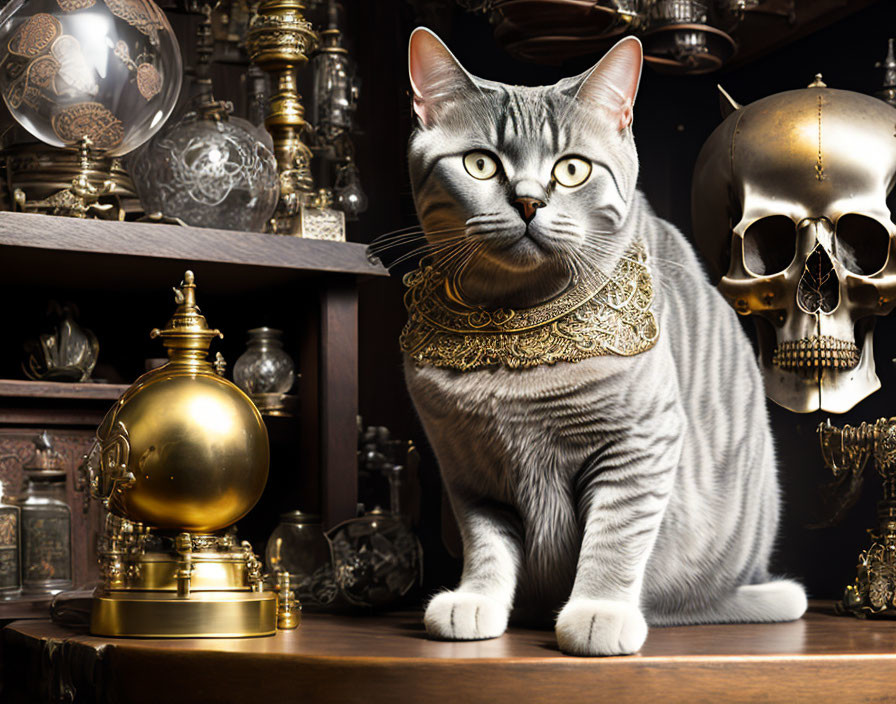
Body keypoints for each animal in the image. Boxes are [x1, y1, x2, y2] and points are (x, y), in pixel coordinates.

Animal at [402, 27, 808, 656]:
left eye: (571, 169)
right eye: (480, 163)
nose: (528, 202)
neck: (513, 332)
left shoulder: (639, 445)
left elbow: (615, 537)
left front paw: (598, 611)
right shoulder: (467, 468)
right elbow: (486, 544)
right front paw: (476, 600)